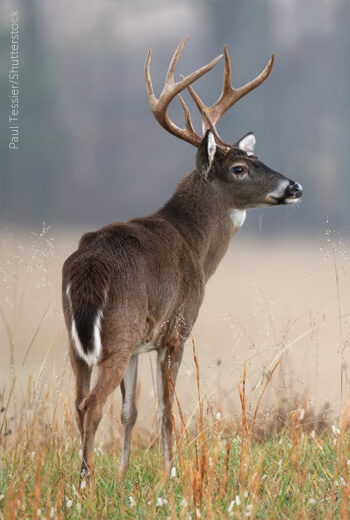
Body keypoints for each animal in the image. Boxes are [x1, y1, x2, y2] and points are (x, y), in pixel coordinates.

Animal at [61, 37, 302, 484]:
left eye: (256, 158)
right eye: (239, 168)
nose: (294, 186)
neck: (196, 245)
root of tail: (88, 269)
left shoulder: (142, 343)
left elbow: (131, 411)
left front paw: (124, 476)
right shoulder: (176, 329)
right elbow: (165, 409)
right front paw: (169, 474)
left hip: (78, 338)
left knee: (79, 400)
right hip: (119, 332)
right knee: (92, 403)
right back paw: (83, 484)